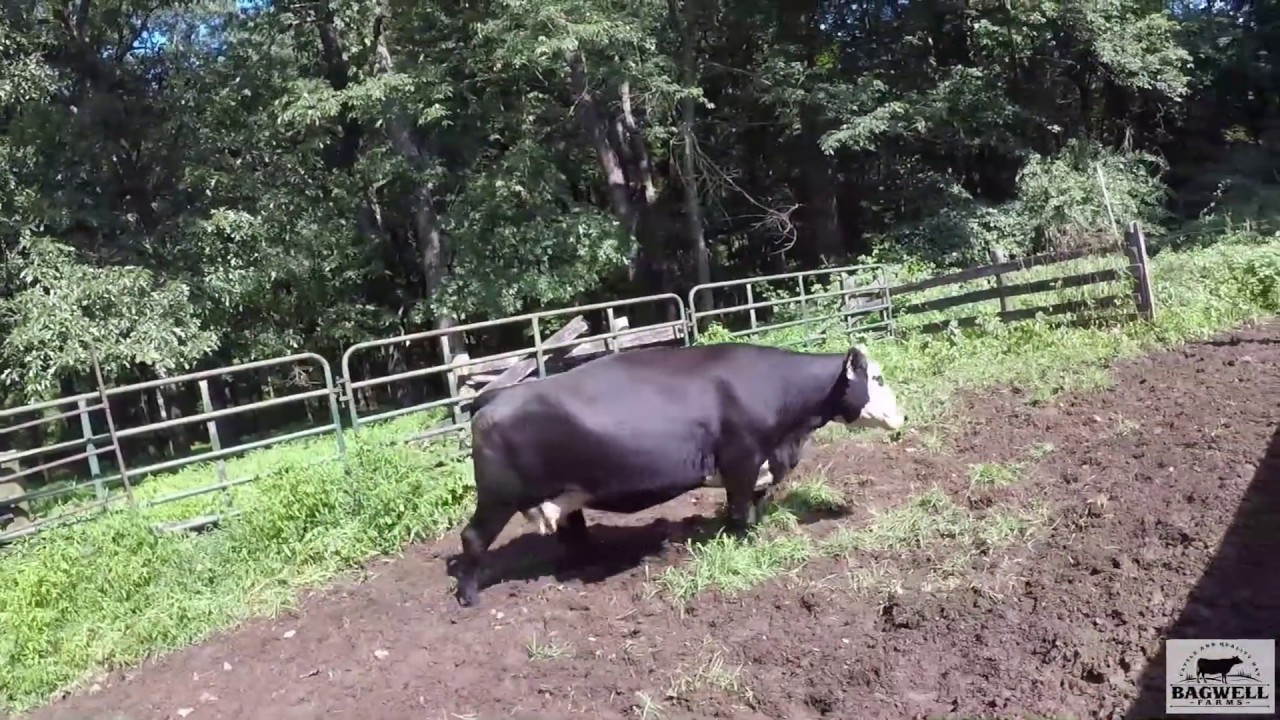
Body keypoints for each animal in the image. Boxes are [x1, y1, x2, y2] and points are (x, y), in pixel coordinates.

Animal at [452, 341, 906, 607]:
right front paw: (744, 544)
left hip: (565, 494)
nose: (901, 416)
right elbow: (739, 511)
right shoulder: (741, 459)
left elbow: (753, 506)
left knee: (573, 533)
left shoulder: (759, 463)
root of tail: (493, 400)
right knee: (472, 539)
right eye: (878, 377)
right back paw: (469, 598)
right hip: (497, 497)